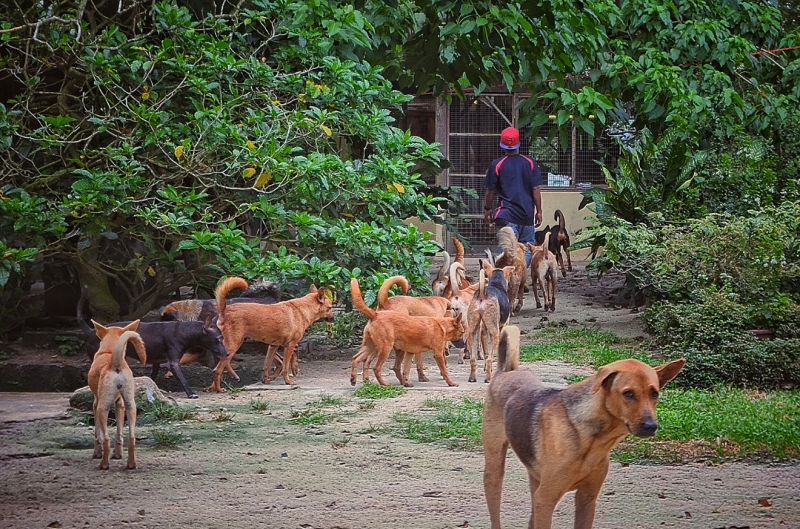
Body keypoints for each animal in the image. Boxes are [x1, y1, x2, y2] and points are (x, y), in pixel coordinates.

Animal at [78, 286, 230, 398]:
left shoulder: (156, 361)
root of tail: (91, 331)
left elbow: (152, 377)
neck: (182, 330)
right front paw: (191, 393)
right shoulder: (173, 363)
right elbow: (182, 379)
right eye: (219, 339)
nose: (228, 354)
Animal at [89, 320, 147, 468]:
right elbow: (119, 433)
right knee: (131, 438)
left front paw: (97, 453)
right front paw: (118, 454)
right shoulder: (120, 404)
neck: (110, 351)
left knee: (106, 439)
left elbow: (98, 435)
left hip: (102, 408)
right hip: (131, 407)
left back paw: (104, 464)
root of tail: (115, 363)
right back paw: (131, 464)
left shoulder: (96, 404)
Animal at [484, 326, 684, 528]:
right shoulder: (545, 500)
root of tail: (505, 372)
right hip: (494, 471)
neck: (592, 438)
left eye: (654, 394)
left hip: (535, 479)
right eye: (628, 394)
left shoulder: (587, 498)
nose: (651, 426)